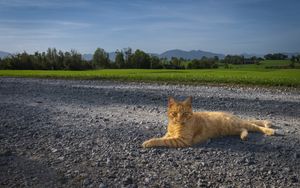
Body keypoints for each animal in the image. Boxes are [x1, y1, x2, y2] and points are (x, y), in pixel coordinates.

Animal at [142, 97, 276, 148]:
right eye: (174, 113)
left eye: (185, 113)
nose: (179, 119)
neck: (174, 126)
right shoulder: (169, 134)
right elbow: (163, 137)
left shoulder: (182, 140)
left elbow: (161, 140)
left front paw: (148, 142)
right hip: (231, 129)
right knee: (245, 129)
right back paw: (244, 136)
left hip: (235, 124)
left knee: (255, 126)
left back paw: (270, 130)